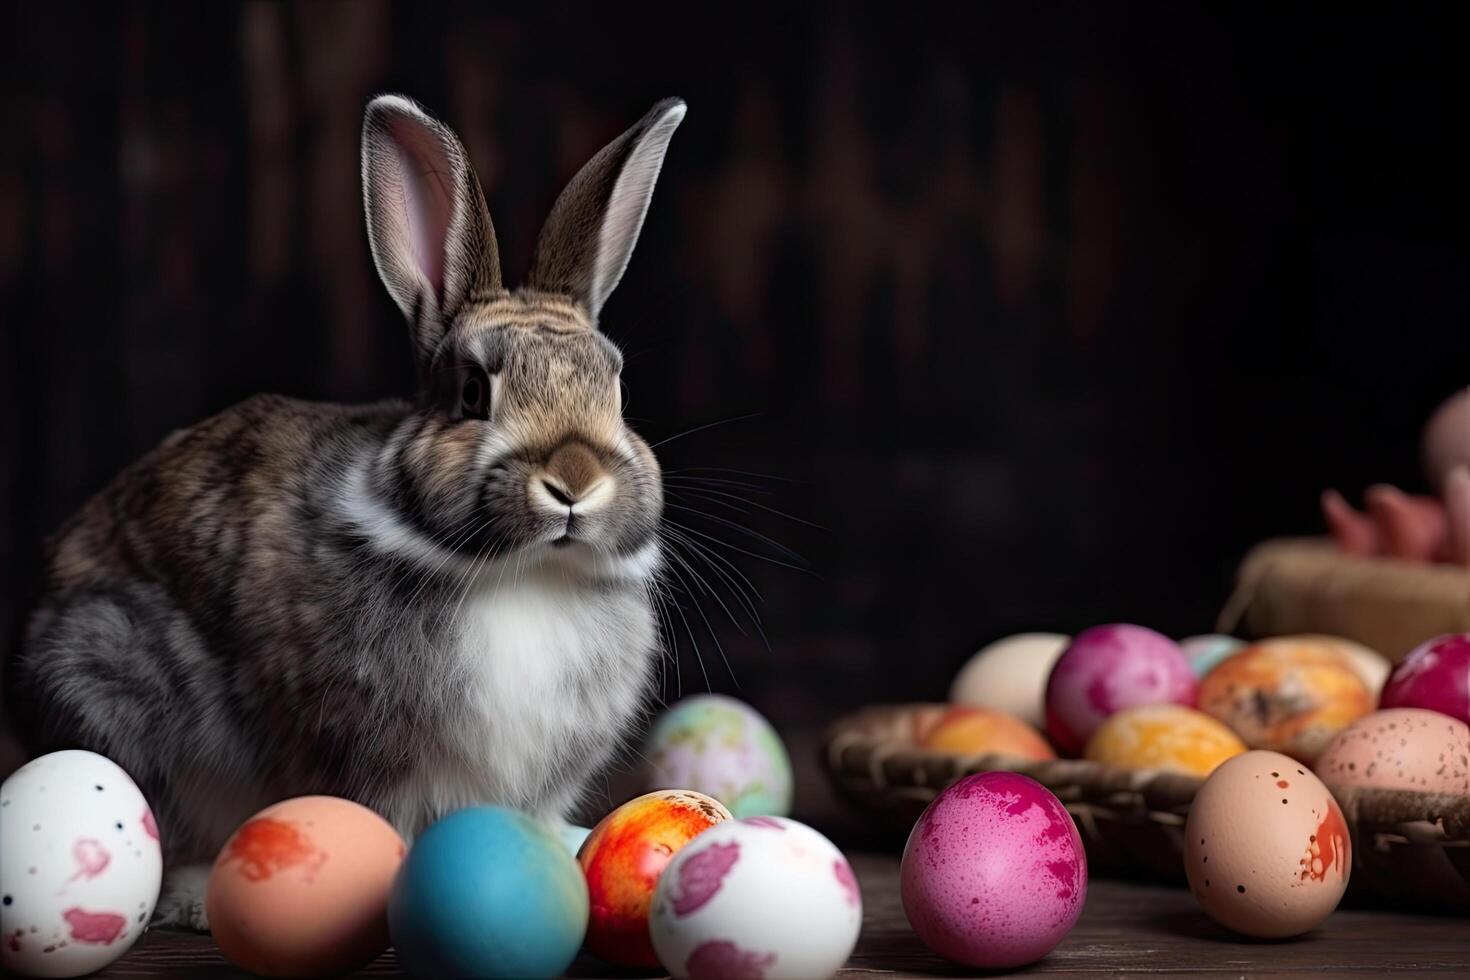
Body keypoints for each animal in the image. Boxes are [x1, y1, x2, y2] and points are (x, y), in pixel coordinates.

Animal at [8, 95, 685, 934]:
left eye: (615, 386)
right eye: (472, 393)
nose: (573, 479)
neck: (522, 573)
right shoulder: (365, 754)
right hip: (105, 682)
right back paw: (197, 897)